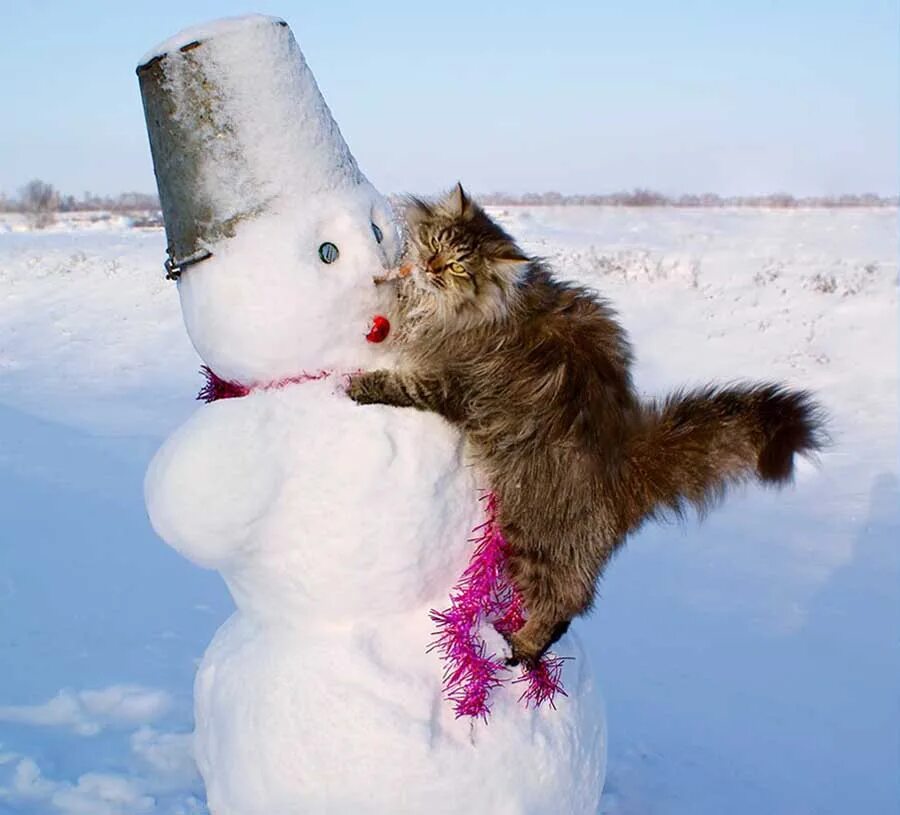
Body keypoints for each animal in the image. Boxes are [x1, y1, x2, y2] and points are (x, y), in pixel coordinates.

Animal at [348, 186, 828, 668]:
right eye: (437, 243)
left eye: (459, 266)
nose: (430, 265)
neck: (483, 311)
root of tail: (627, 461)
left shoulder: (451, 383)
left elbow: (401, 385)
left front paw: (358, 384)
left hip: (532, 534)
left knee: (563, 604)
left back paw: (519, 647)